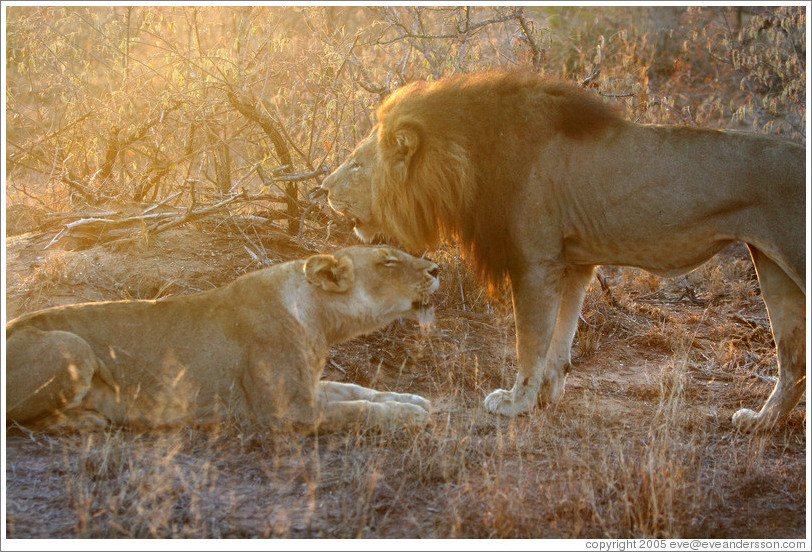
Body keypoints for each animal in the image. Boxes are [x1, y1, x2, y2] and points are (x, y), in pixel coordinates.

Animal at [6, 246, 440, 433]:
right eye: (388, 261)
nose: (437, 268)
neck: (319, 317)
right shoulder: (284, 411)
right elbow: (358, 410)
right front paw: (408, 416)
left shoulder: (309, 387)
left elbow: (358, 391)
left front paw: (411, 400)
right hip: (72, 346)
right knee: (19, 421)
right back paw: (87, 420)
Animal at [321, 71, 806, 433]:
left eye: (358, 164)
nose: (323, 187)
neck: (466, 158)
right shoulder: (574, 263)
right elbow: (560, 338)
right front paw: (547, 394)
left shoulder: (535, 262)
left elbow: (529, 341)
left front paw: (516, 401)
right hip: (772, 269)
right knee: (793, 361)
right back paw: (762, 423)